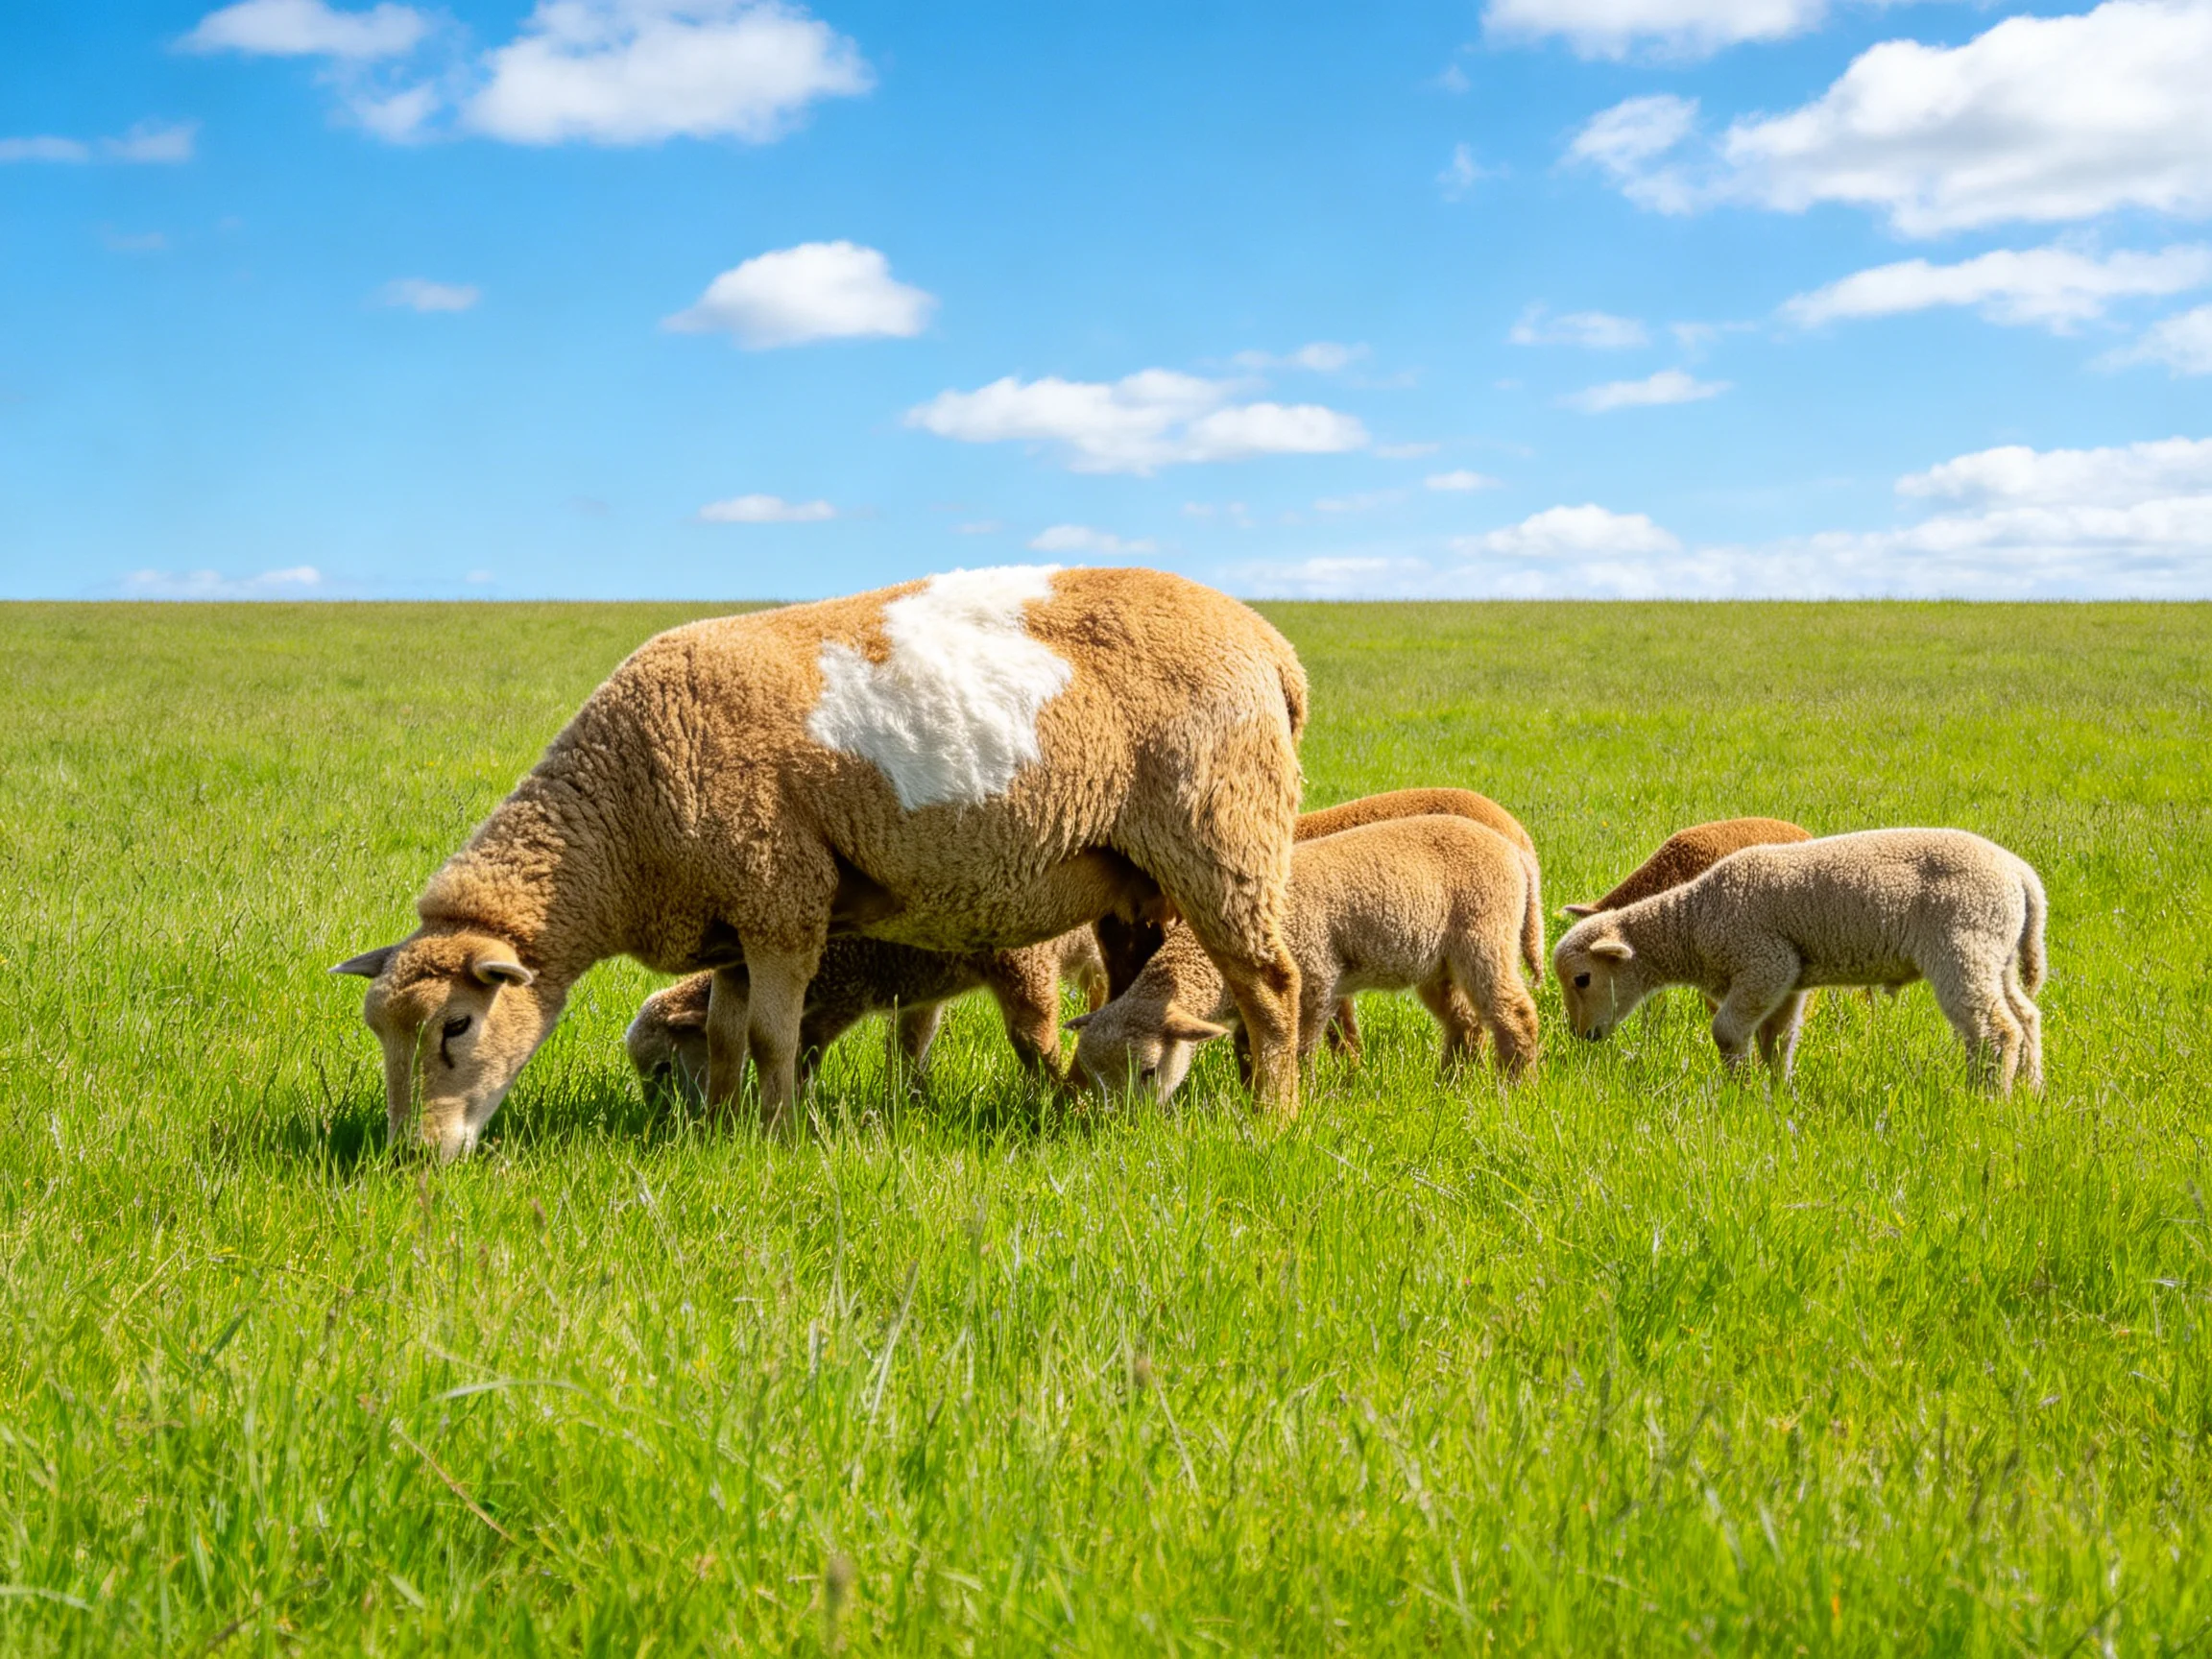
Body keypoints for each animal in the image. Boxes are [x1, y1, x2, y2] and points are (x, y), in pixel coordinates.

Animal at [626, 928, 1108, 1098]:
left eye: (663, 1069)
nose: (662, 1115)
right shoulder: (916, 994)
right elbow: (909, 1046)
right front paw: (910, 1100)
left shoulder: (839, 998)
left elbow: (805, 1053)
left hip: (1026, 959)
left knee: (1034, 1035)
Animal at [1071, 816, 1543, 1102]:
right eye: (1094, 1077)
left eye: (1149, 1072)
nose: (1127, 1128)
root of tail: (1515, 852)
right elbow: (1251, 1051)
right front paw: (1254, 1096)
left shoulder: (1314, 979)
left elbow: (1296, 1049)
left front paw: (1299, 1097)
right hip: (1437, 961)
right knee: (1465, 1023)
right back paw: (1449, 1087)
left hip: (1485, 933)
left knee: (1515, 1014)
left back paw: (1513, 1089)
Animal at [1552, 828, 2046, 1092]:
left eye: (1582, 979)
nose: (1581, 1036)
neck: (1692, 925)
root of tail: (2021, 875)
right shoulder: (1788, 979)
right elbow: (1778, 1041)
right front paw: (1777, 1094)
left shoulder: (1765, 962)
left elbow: (1726, 1032)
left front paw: (1738, 1093)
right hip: (1995, 951)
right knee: (2024, 1016)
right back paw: (2029, 1089)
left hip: (1964, 943)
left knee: (1995, 1029)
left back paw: (1987, 1098)